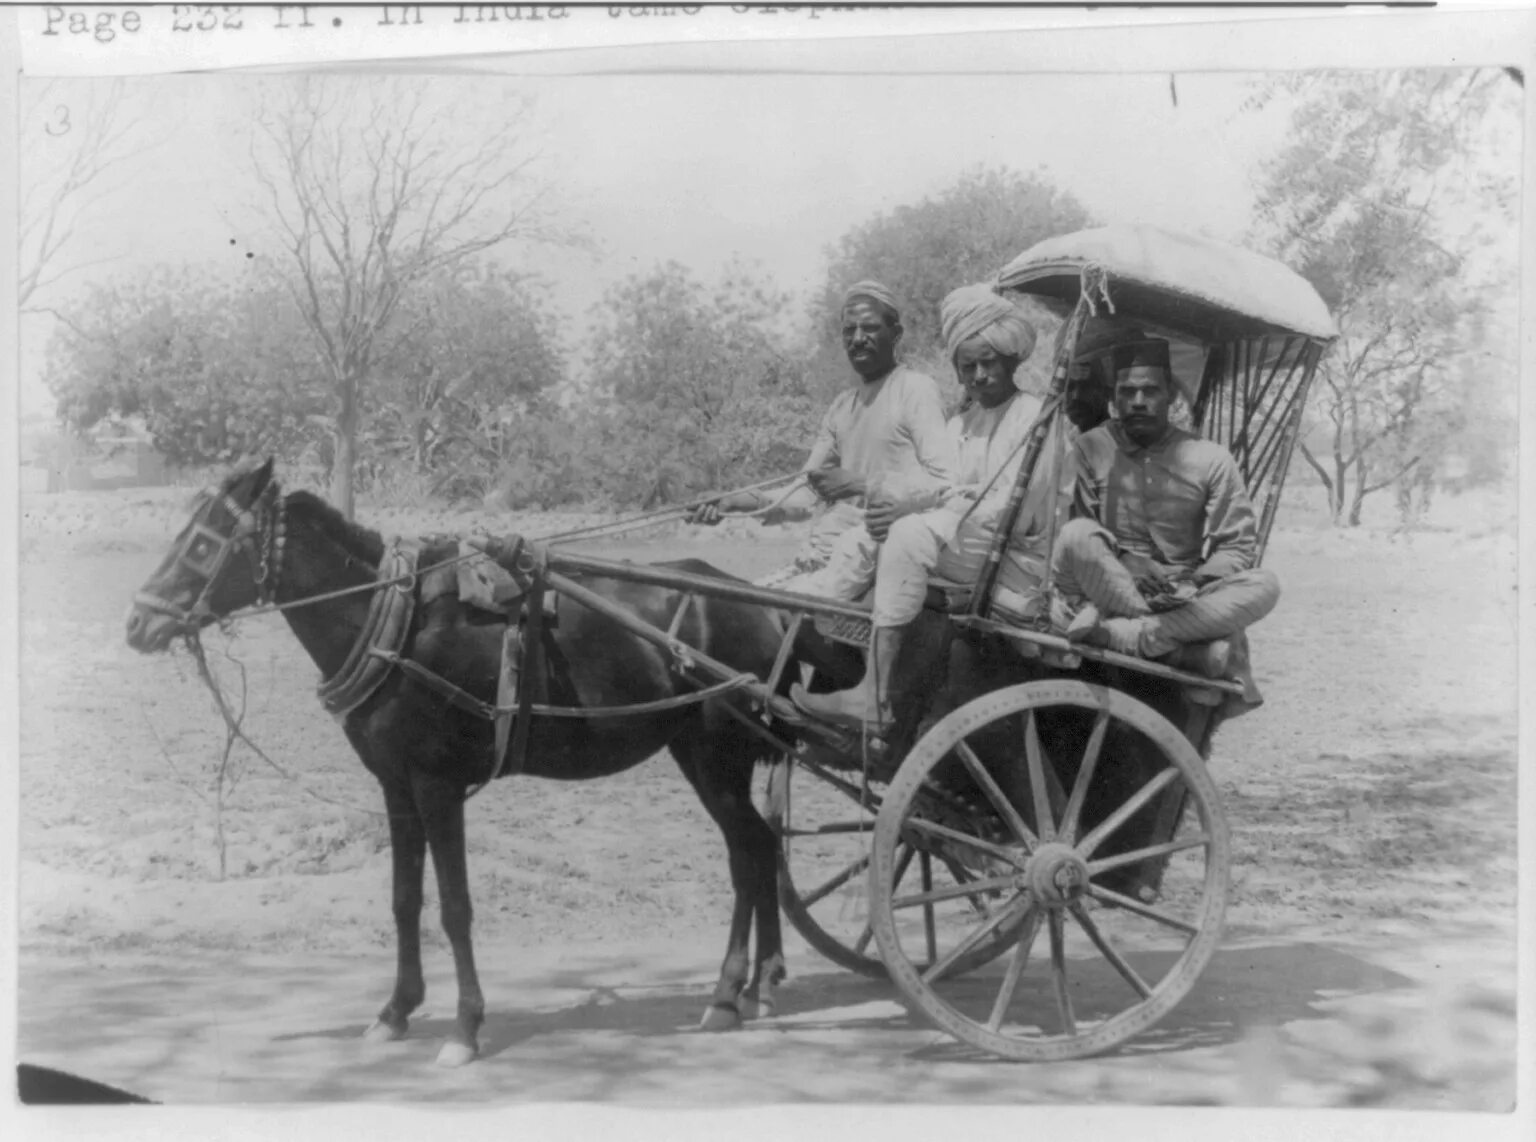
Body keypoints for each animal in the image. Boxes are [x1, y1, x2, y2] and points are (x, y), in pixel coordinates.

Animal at [124, 461, 817, 1069]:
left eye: (203, 542)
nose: (137, 623)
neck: (398, 623)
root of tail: (762, 603)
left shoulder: (438, 786)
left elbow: (455, 908)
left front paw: (464, 1028)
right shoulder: (396, 787)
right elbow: (405, 899)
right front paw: (395, 1012)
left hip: (716, 758)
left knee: (747, 857)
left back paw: (727, 994)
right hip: (699, 757)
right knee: (759, 848)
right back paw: (761, 982)